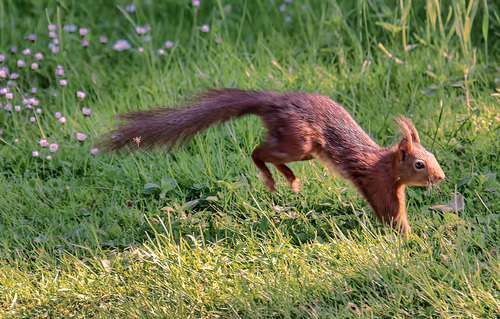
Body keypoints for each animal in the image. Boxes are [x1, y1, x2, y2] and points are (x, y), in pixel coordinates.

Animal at [105, 89, 446, 234]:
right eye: (419, 164)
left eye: (433, 158)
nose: (441, 177)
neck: (386, 164)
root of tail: (274, 101)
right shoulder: (378, 184)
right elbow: (391, 215)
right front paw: (408, 239)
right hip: (300, 141)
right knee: (258, 151)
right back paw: (271, 178)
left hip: (300, 146)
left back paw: (290, 179)